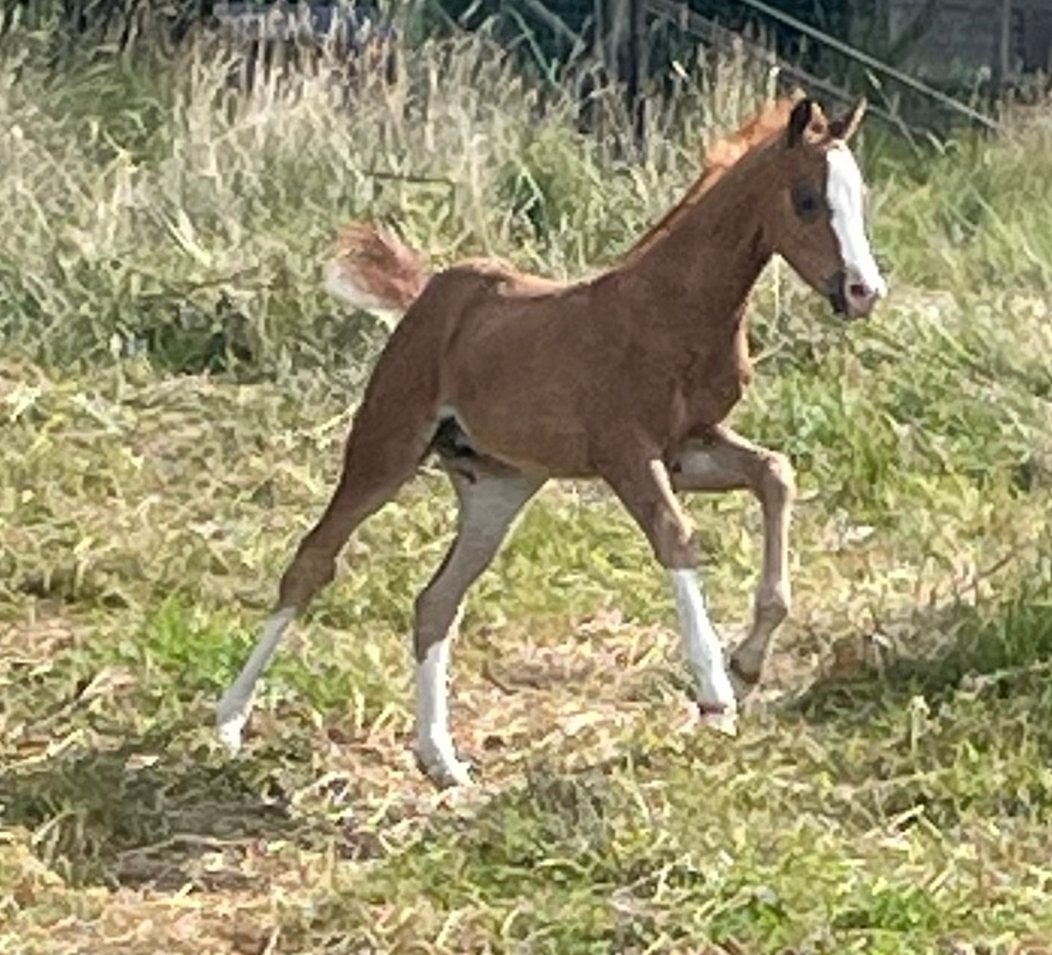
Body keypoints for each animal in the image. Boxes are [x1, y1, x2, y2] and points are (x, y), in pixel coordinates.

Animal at [215, 91, 887, 787]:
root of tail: (428, 295)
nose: (864, 291)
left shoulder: (688, 444)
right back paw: (230, 721)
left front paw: (749, 660)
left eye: (858, 197)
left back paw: (441, 759)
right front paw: (715, 692)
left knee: (435, 602)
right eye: (807, 199)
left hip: (498, 488)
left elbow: (775, 473)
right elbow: (677, 538)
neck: (672, 308)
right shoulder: (626, 452)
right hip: (387, 444)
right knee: (312, 563)